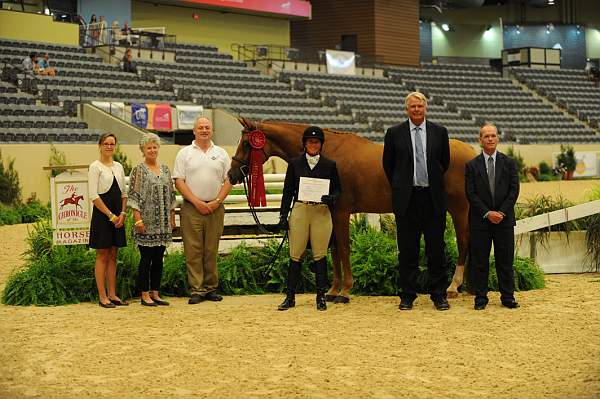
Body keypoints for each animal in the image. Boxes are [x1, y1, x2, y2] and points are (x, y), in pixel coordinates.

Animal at [227, 119, 476, 304]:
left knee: (464, 242)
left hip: (458, 208)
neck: (329, 152)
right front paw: (333, 290)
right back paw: (468, 287)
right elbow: (335, 249)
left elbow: (344, 248)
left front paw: (345, 290)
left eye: (247, 144)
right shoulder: (331, 210)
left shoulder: (341, 211)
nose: (232, 174)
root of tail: (471, 152)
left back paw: (453, 286)